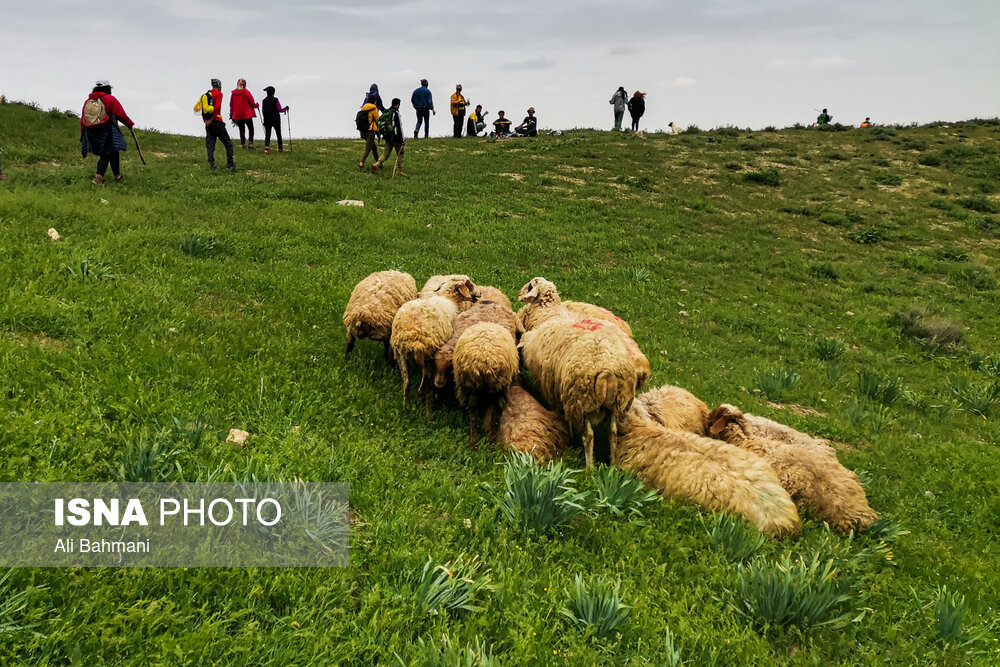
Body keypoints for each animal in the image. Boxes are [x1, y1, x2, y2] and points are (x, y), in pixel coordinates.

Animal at [388, 274, 478, 420]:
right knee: (426, 383)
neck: (449, 299)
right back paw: (425, 404)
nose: (480, 293)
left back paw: (405, 408)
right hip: (428, 353)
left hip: (401, 354)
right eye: (469, 284)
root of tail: (412, 334)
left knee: (407, 383)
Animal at [520, 276, 636, 470]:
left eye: (530, 284)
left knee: (588, 435)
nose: (520, 295)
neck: (548, 314)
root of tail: (606, 371)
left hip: (581, 400)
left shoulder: (550, 385)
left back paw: (589, 468)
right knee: (613, 432)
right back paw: (612, 464)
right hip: (617, 402)